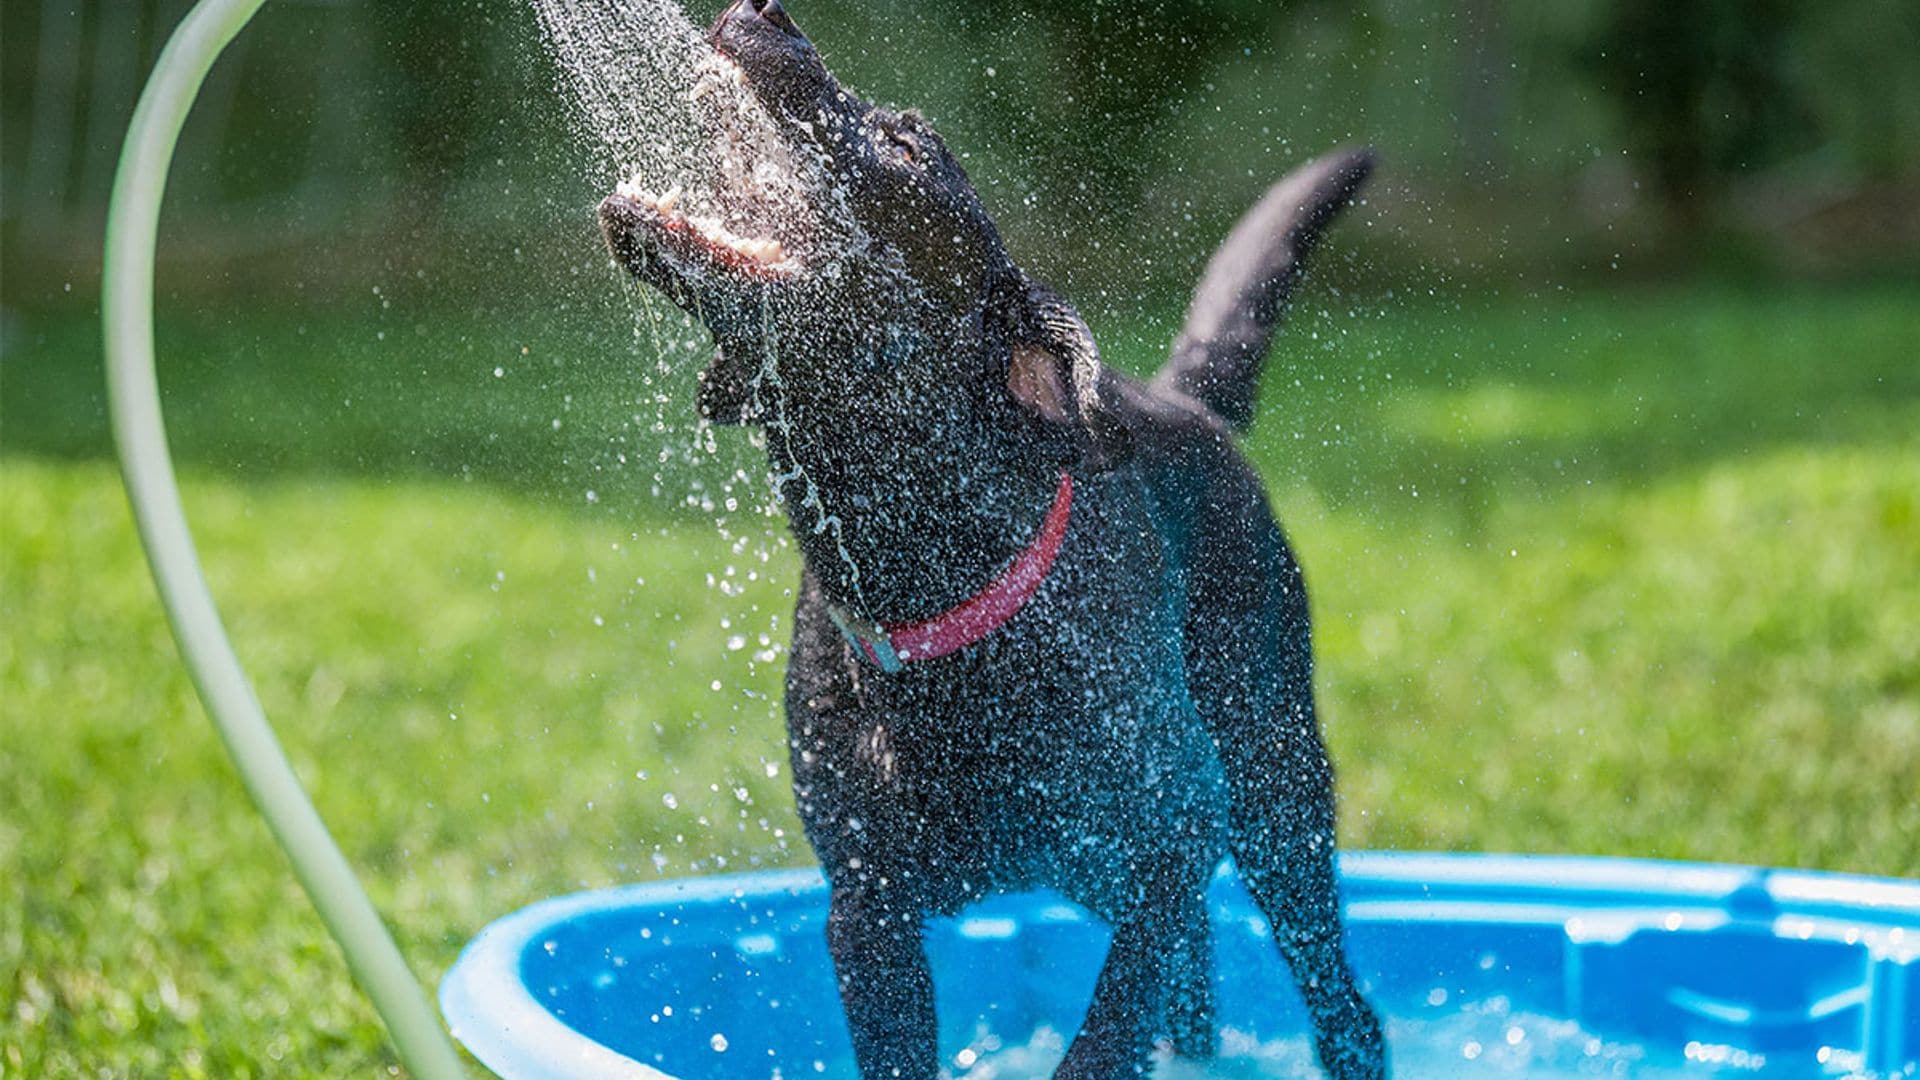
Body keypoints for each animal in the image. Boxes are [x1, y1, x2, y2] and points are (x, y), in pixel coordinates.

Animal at [599, 4, 1382, 1068]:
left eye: (903, 146)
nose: (767, 12)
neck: (928, 583)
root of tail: (1184, 403)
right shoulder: (868, 911)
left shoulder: (1170, 832)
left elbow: (1098, 1043)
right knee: (1196, 979)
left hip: (1273, 793)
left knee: (1344, 1010)